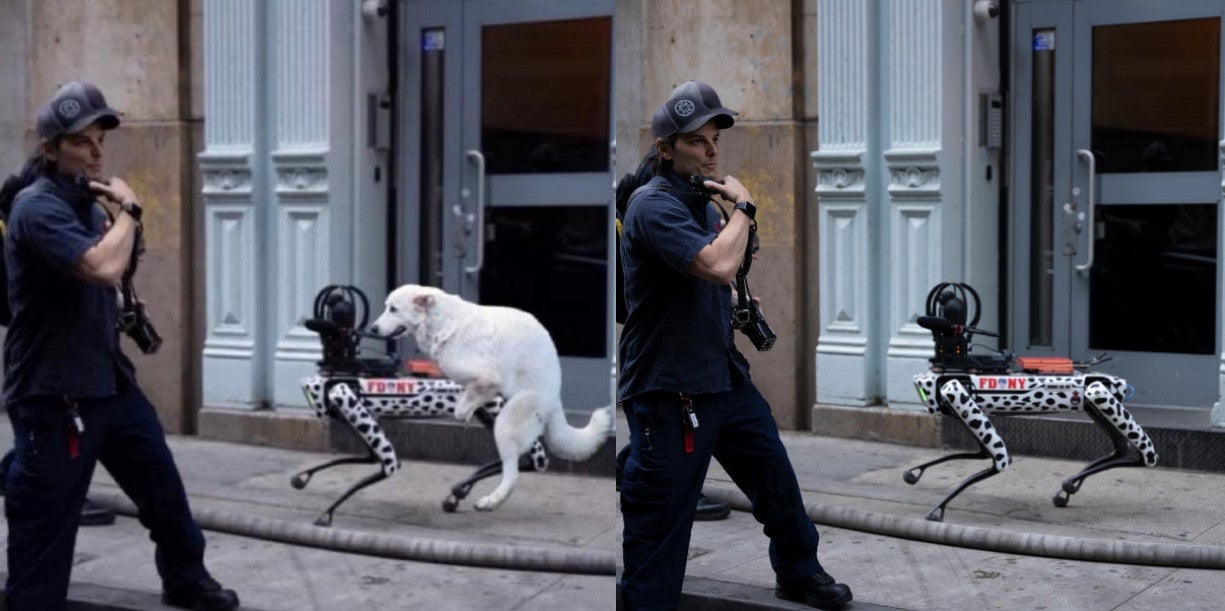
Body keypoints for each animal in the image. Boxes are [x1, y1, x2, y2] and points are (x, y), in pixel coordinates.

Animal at [362, 285, 612, 511]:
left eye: (393, 309)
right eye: (387, 307)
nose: (373, 328)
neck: (438, 320)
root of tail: (555, 396)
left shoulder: (488, 376)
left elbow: (470, 397)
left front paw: (465, 410)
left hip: (506, 425)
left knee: (512, 473)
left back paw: (491, 501)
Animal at [906, 284, 1151, 524]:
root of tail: (1119, 384)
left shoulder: (956, 392)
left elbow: (1001, 460)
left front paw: (938, 508)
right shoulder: (958, 403)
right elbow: (986, 456)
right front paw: (916, 474)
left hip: (1097, 394)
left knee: (1145, 455)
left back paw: (1072, 485)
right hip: (1095, 405)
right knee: (1122, 449)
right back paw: (1070, 486)